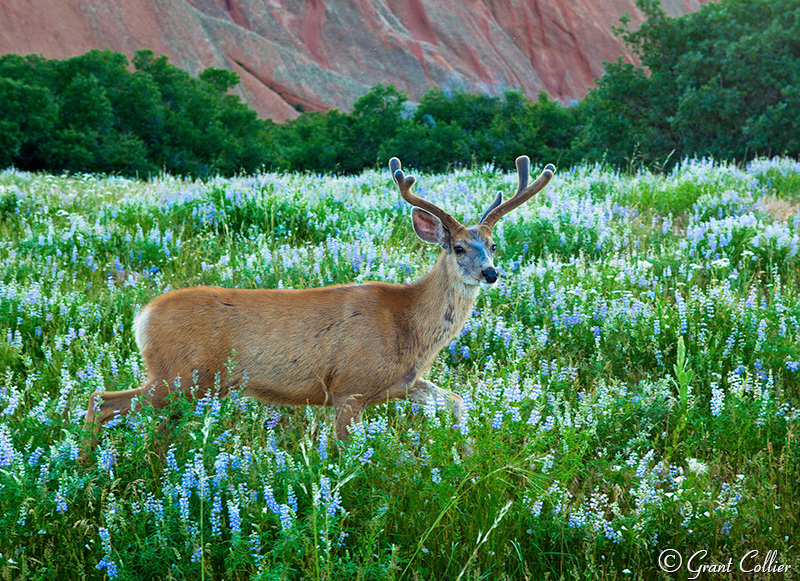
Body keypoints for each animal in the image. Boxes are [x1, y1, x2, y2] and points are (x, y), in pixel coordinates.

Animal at [83, 156, 556, 450]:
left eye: (492, 245)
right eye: (458, 247)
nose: (491, 273)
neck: (407, 324)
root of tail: (142, 316)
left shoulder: (399, 383)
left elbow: (458, 402)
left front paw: (469, 454)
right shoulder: (350, 386)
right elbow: (342, 453)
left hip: (184, 383)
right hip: (179, 375)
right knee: (102, 401)